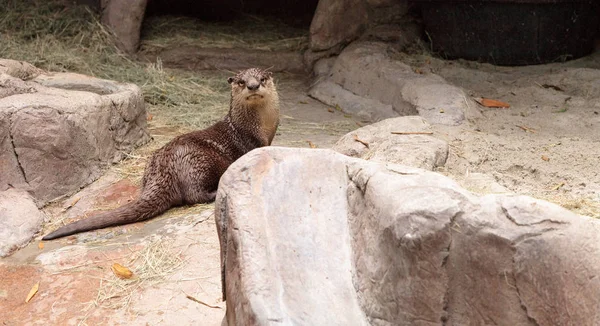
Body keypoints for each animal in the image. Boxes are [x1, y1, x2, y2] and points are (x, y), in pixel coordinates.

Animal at [42, 67, 282, 241]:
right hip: (199, 162)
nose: (252, 86)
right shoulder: (251, 143)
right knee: (193, 195)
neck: (253, 127)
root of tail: (163, 169)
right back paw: (215, 193)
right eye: (242, 82)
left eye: (262, 79)